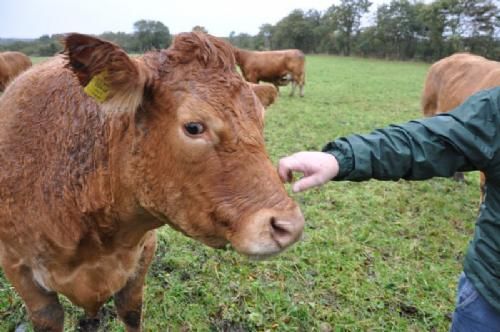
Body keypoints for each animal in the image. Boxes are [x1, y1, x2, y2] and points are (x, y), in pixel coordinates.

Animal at [0, 31, 304, 332]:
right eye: (194, 127)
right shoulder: (17, 266)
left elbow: (131, 309)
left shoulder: (143, 253)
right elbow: (47, 316)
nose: (290, 226)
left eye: (261, 119)